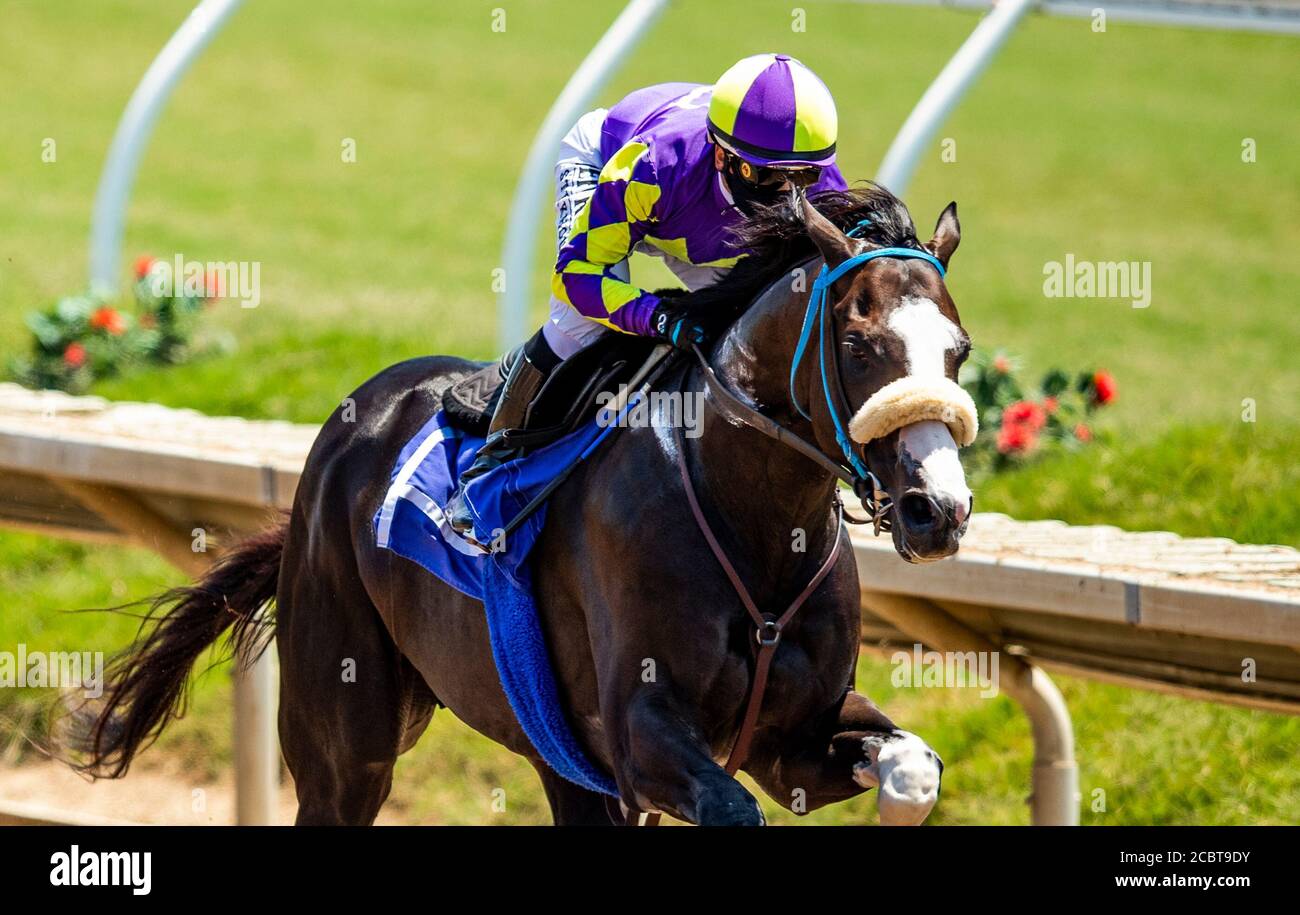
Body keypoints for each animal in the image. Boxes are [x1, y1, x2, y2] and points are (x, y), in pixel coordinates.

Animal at [65, 181, 972, 826]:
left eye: (958, 350)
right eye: (858, 344)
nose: (938, 509)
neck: (752, 522)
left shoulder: (794, 741)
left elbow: (913, 772)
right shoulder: (643, 735)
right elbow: (729, 807)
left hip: (552, 749)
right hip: (348, 742)